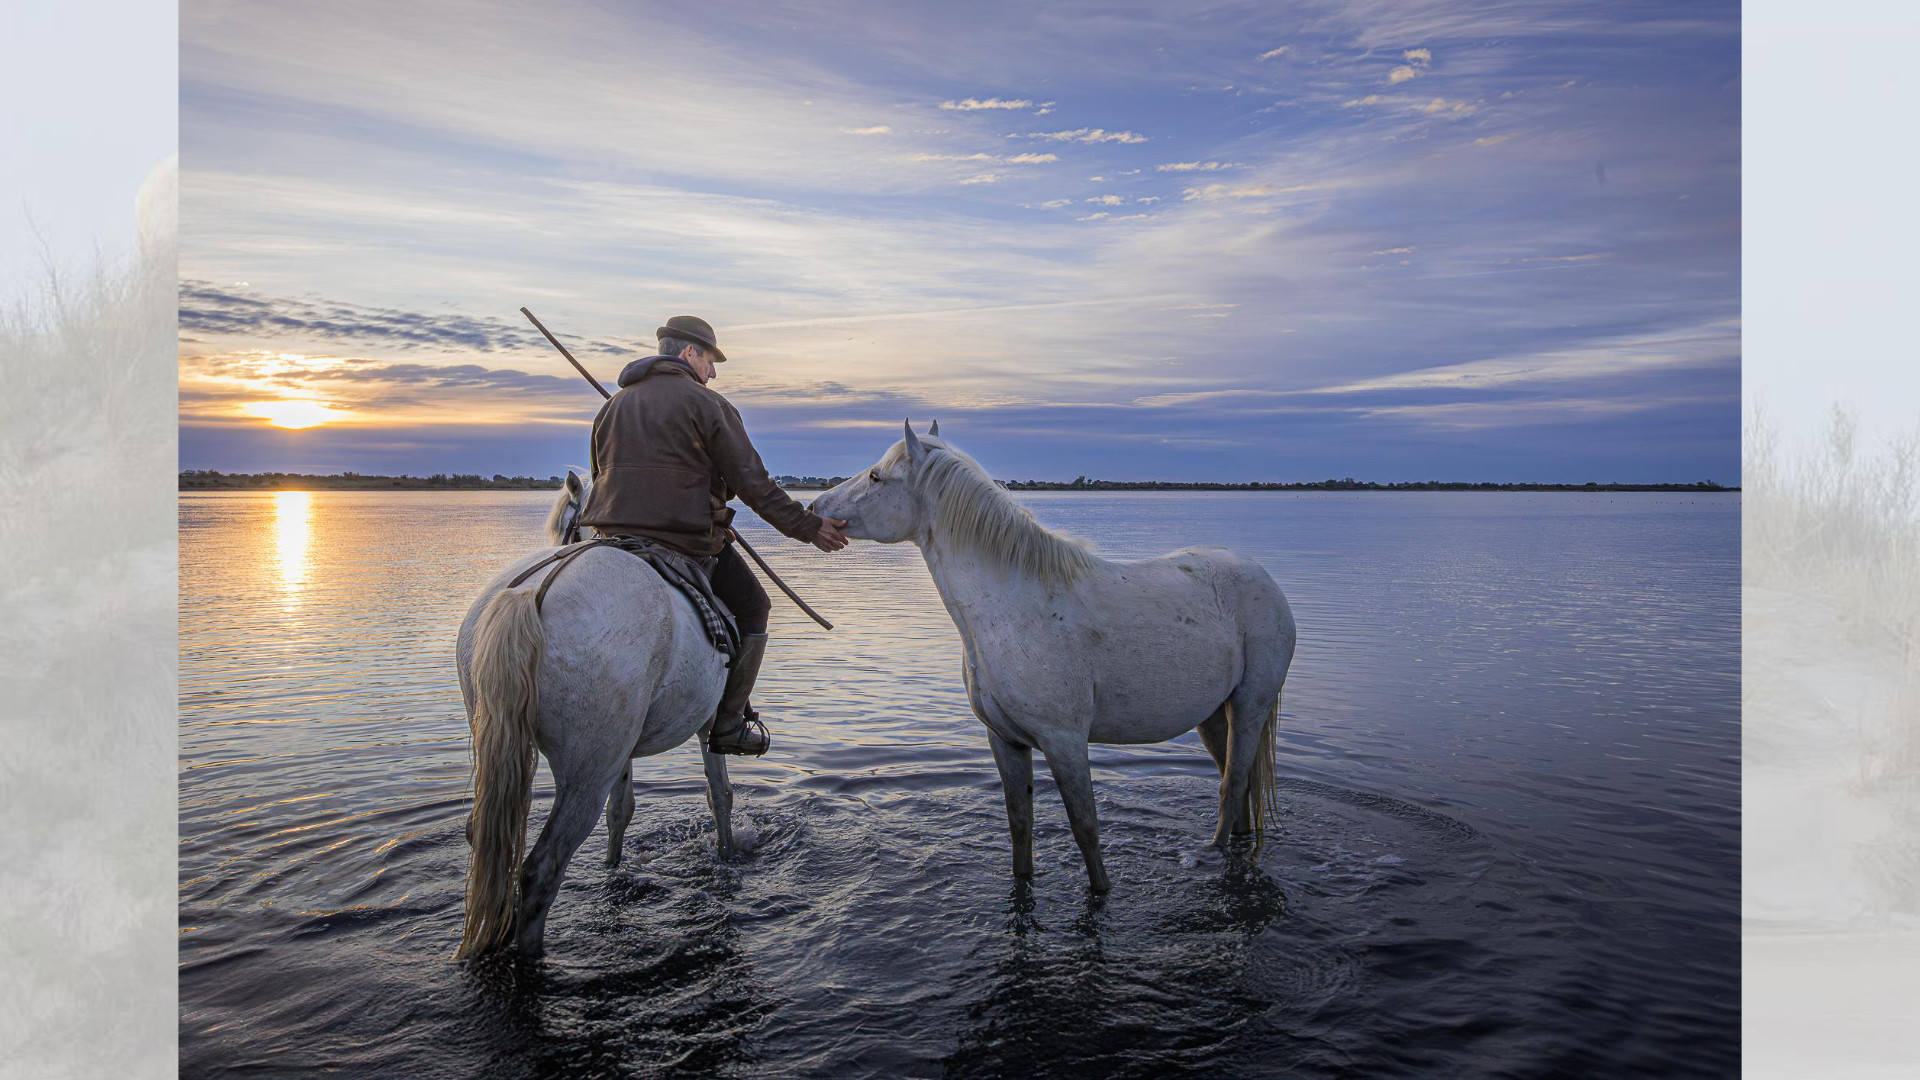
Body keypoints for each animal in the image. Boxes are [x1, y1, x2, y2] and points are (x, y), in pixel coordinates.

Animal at [456, 474, 741, 953]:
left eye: (566, 527)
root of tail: (532, 593)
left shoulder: (621, 749)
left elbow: (621, 809)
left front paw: (612, 867)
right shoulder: (709, 723)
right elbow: (719, 796)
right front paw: (728, 857)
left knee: (484, 837)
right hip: (585, 774)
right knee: (540, 870)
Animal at [802, 420, 1297, 891]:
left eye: (876, 476)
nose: (813, 509)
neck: (1012, 609)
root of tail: (1261, 576)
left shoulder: (1065, 741)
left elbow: (1086, 830)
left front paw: (1102, 893)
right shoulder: (1005, 741)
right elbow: (1020, 827)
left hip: (1249, 705)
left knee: (1233, 784)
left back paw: (1208, 855)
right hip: (1212, 713)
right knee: (1236, 785)